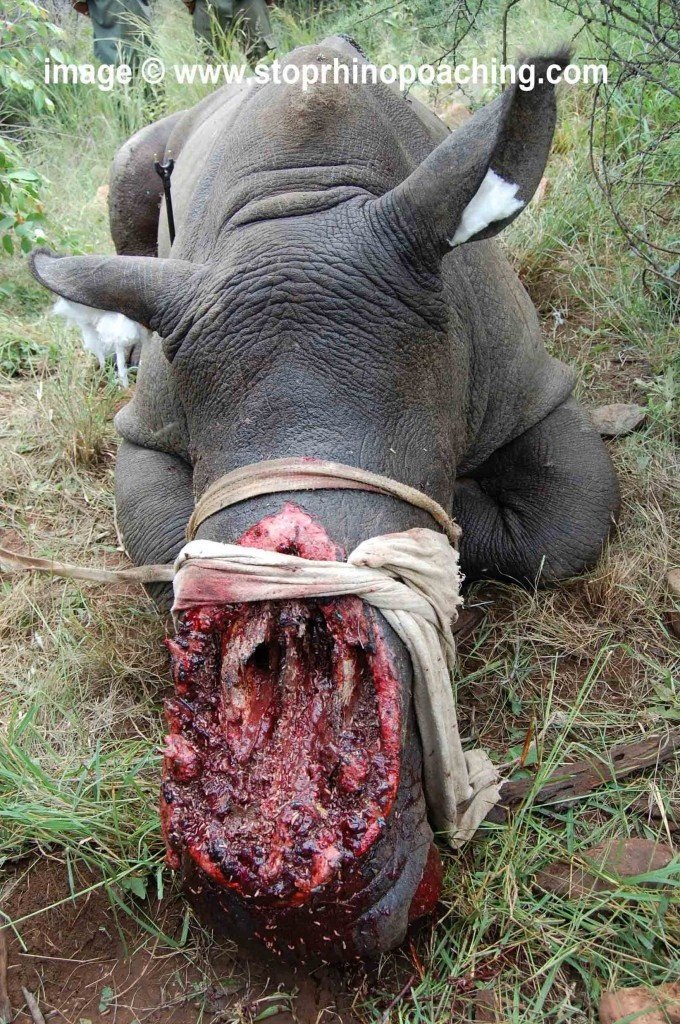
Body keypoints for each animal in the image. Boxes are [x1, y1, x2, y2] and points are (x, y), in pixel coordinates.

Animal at [29, 37, 619, 962]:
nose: (289, 919)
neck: (302, 219)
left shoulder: (534, 387)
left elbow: (567, 525)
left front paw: (463, 507)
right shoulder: (149, 428)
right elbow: (158, 543)